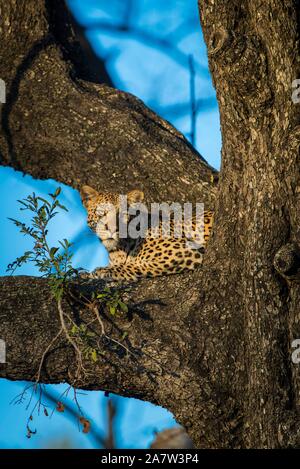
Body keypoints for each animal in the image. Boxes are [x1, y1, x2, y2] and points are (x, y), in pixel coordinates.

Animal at [80, 184, 213, 280]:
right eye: (102, 212)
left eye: (123, 214)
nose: (112, 229)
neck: (118, 250)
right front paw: (85, 274)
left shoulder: (184, 251)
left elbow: (135, 265)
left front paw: (102, 271)